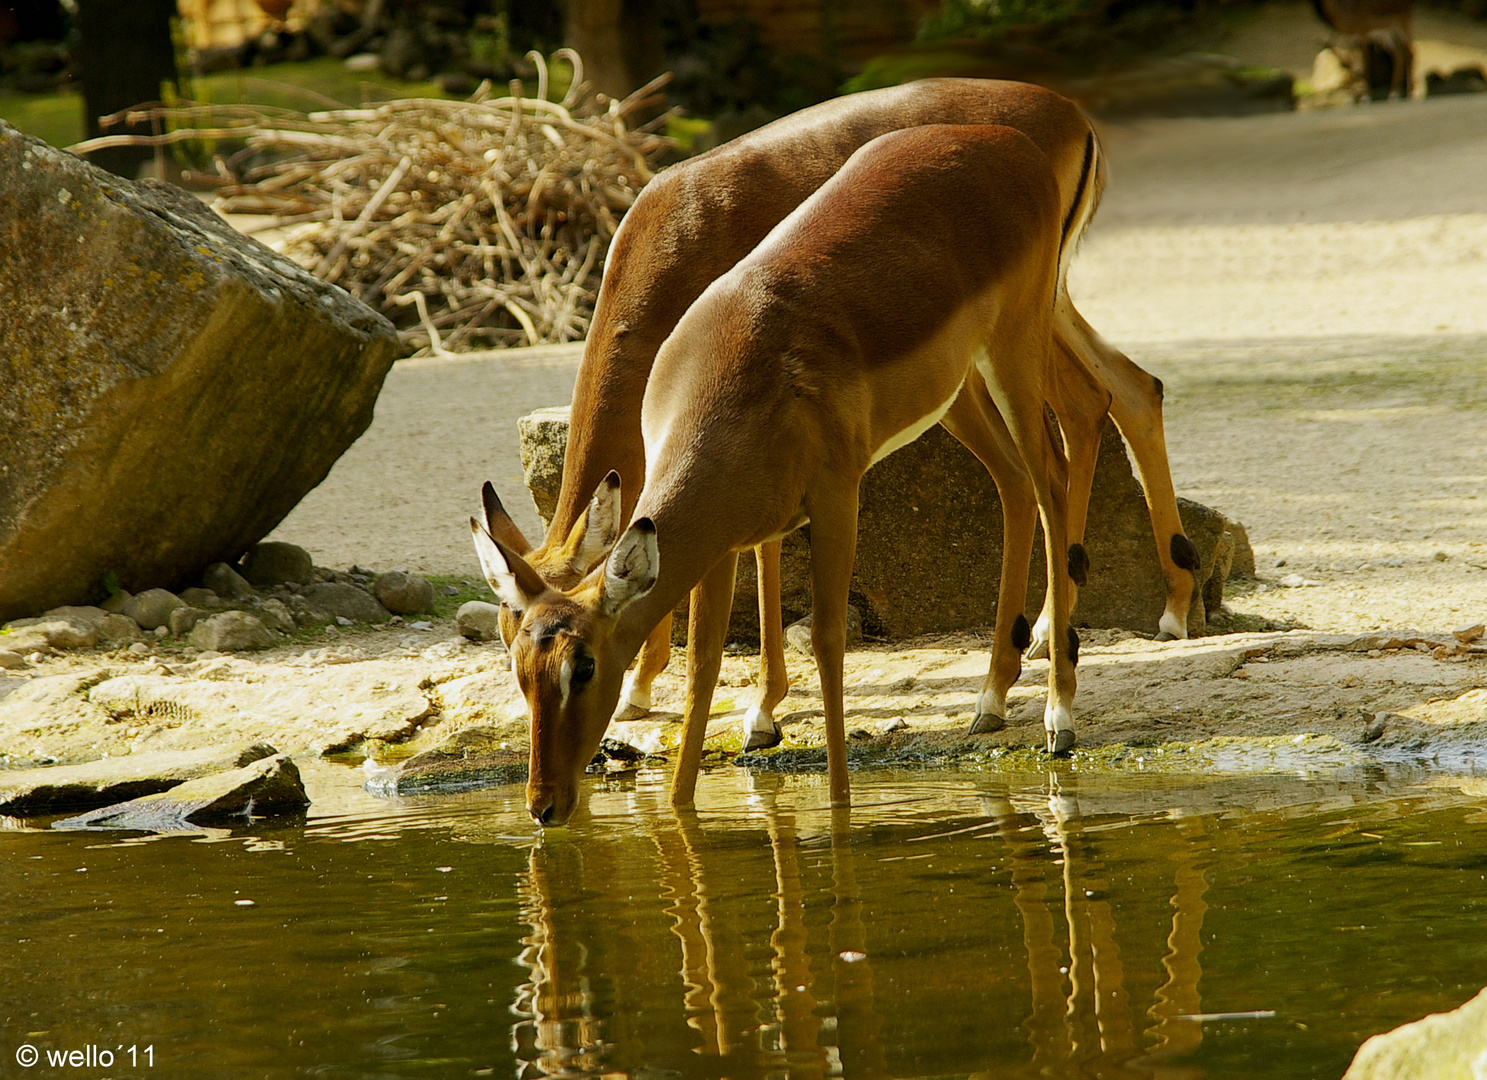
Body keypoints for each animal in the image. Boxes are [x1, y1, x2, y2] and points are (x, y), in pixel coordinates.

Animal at [481, 80, 1201, 761]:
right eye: (507, 634)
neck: (677, 235)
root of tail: (1068, 115)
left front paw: (734, 705)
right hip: (1007, 346)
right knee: (1117, 397)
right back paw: (1129, 617)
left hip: (1017, 336)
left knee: (1072, 429)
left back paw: (1065, 666)